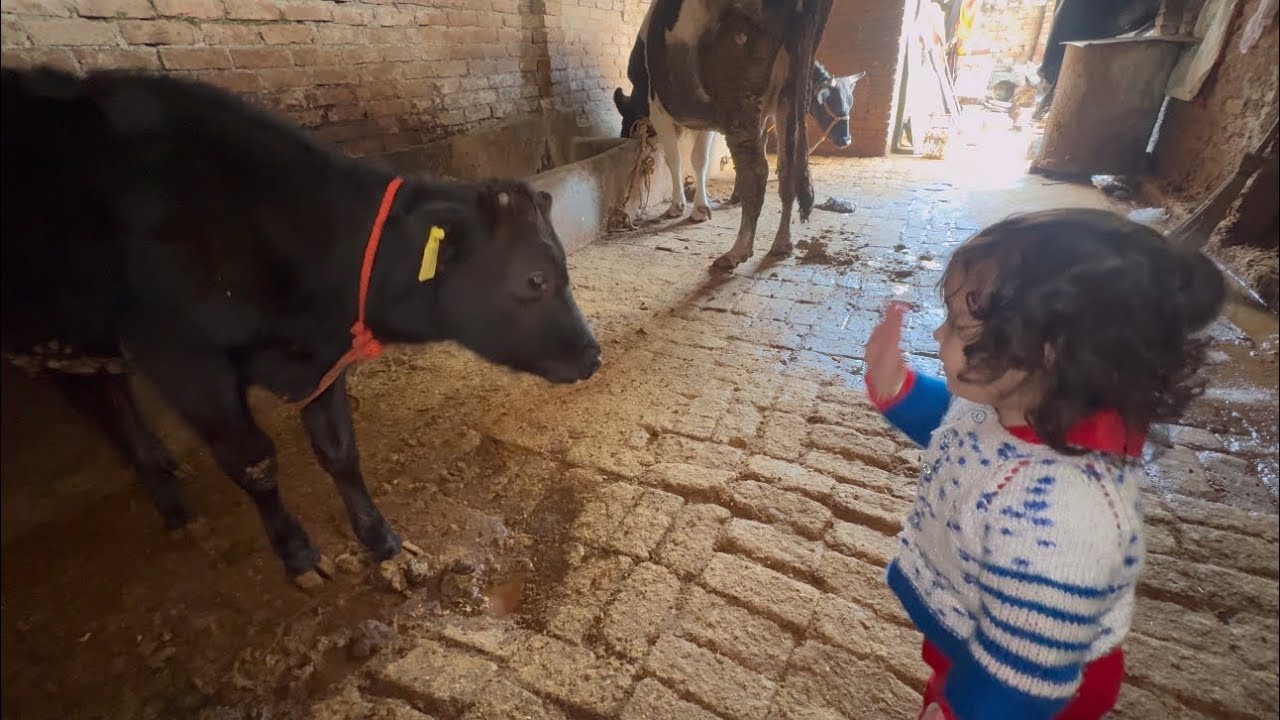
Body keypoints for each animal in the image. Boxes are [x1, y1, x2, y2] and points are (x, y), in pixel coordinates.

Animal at [1, 66, 602, 588]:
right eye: (535, 278)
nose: (592, 355)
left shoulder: (322, 357)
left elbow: (339, 451)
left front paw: (382, 541)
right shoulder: (184, 360)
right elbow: (254, 460)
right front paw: (297, 554)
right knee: (104, 405)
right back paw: (173, 505)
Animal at [610, 0, 836, 269]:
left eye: (628, 119)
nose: (624, 135)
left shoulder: (658, 109)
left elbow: (674, 160)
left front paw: (677, 206)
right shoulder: (708, 119)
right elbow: (699, 159)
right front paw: (700, 208)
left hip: (738, 101)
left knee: (757, 171)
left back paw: (737, 251)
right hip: (789, 97)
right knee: (787, 167)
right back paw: (782, 244)